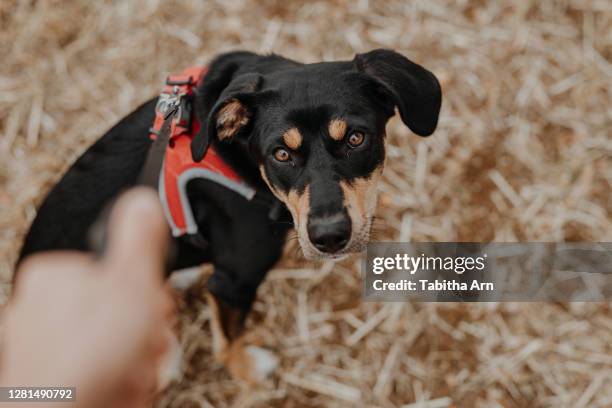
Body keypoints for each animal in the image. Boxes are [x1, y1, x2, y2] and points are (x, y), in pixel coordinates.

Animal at [17, 48, 440, 382]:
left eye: (356, 138)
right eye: (280, 154)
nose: (330, 236)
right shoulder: (233, 281)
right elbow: (227, 341)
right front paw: (247, 368)